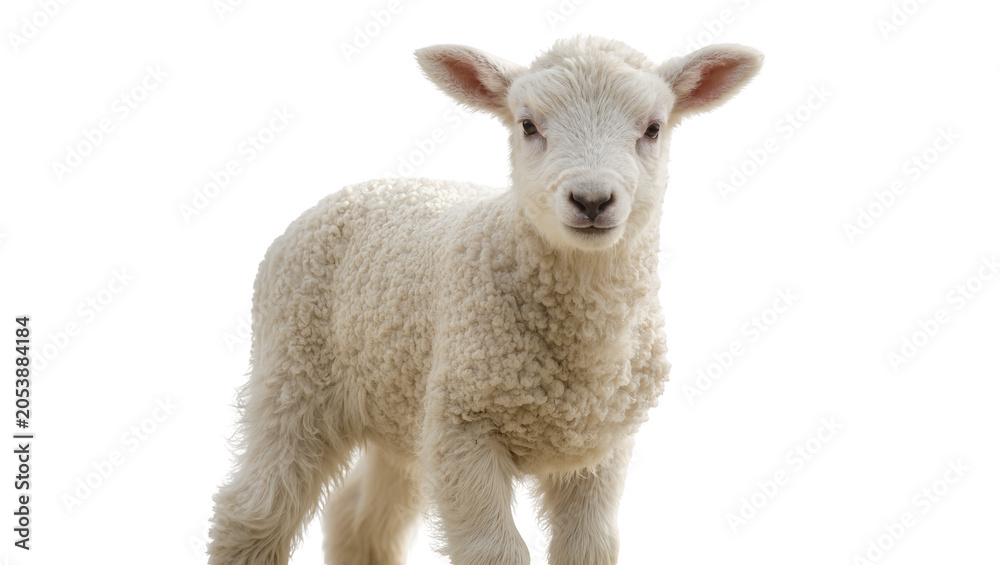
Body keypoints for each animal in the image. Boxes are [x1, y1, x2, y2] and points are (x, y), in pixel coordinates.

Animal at [208, 35, 762, 565]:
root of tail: (352, 190)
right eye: (528, 125)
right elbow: (495, 552)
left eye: (653, 128)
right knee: (254, 508)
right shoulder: (463, 424)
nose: (591, 201)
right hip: (294, 371)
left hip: (400, 402)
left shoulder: (601, 446)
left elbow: (590, 546)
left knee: (361, 519)